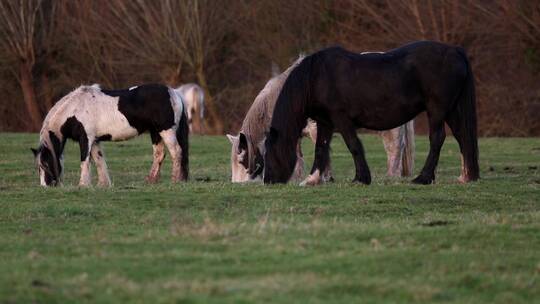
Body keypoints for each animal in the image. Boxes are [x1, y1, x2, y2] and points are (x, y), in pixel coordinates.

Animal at [31, 84, 189, 186]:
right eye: (38, 167)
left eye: (46, 164)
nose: (46, 186)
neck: (75, 110)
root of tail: (174, 92)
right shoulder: (94, 141)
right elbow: (98, 160)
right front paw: (103, 184)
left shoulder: (86, 138)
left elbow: (84, 161)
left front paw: (83, 185)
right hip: (155, 132)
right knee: (159, 154)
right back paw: (151, 180)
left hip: (166, 131)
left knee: (176, 152)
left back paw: (175, 180)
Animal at [226, 56, 416, 185]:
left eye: (242, 160)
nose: (238, 184)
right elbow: (298, 157)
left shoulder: (317, 128)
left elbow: (323, 150)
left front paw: (324, 177)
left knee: (394, 149)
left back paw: (392, 176)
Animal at [264, 40, 478, 184]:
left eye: (270, 150)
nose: (268, 180)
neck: (316, 77)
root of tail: (455, 51)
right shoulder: (325, 122)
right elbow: (320, 148)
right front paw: (312, 179)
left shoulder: (341, 119)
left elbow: (354, 145)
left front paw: (361, 178)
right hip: (452, 110)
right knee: (463, 138)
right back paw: (465, 176)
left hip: (437, 110)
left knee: (437, 139)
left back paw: (423, 178)